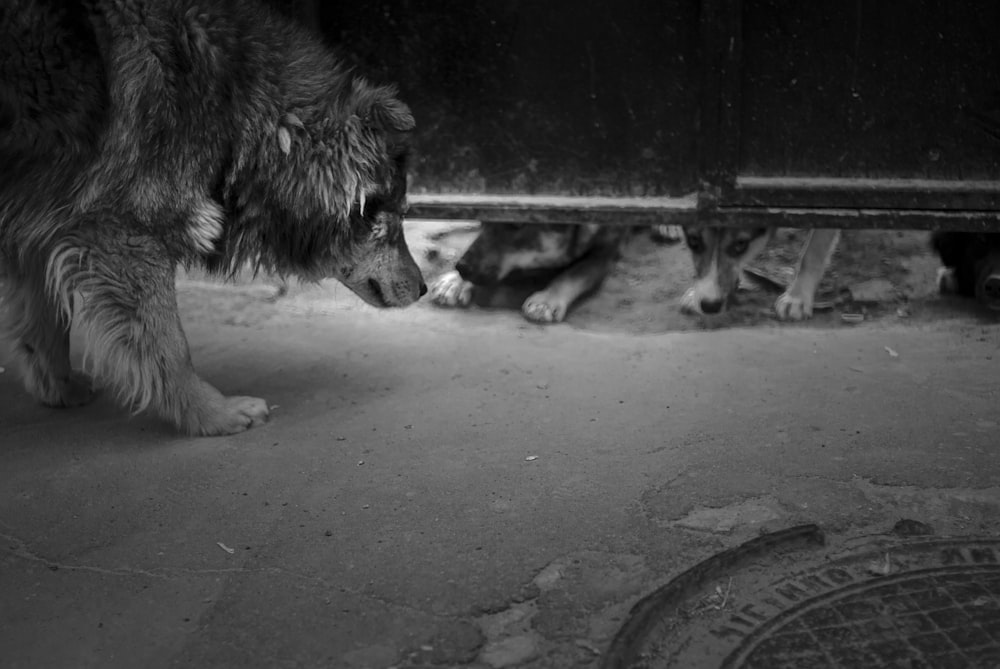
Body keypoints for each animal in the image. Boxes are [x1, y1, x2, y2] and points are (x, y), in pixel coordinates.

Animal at [0, 0, 426, 436]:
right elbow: (171, 345)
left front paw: (58, 387)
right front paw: (210, 414)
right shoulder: (124, 233)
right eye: (394, 217)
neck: (236, 104)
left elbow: (46, 319)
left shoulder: (37, 215)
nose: (425, 288)